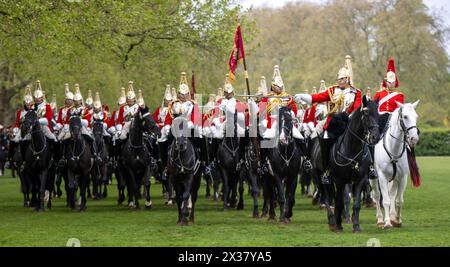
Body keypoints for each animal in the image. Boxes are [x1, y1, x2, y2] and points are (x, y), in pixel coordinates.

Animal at [324, 96, 380, 232]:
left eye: (378, 114)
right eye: (366, 113)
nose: (375, 137)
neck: (352, 148)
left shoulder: (360, 179)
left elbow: (356, 204)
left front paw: (356, 226)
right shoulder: (339, 180)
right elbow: (339, 202)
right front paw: (339, 225)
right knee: (328, 198)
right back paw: (332, 221)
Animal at [370, 101, 420, 230]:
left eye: (416, 116)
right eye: (405, 117)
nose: (414, 138)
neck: (393, 149)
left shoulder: (402, 178)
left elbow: (399, 200)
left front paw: (397, 220)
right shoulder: (382, 177)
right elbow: (385, 200)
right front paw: (387, 222)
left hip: (394, 179)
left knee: (392, 194)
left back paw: (392, 216)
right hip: (373, 178)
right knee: (377, 195)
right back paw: (380, 219)